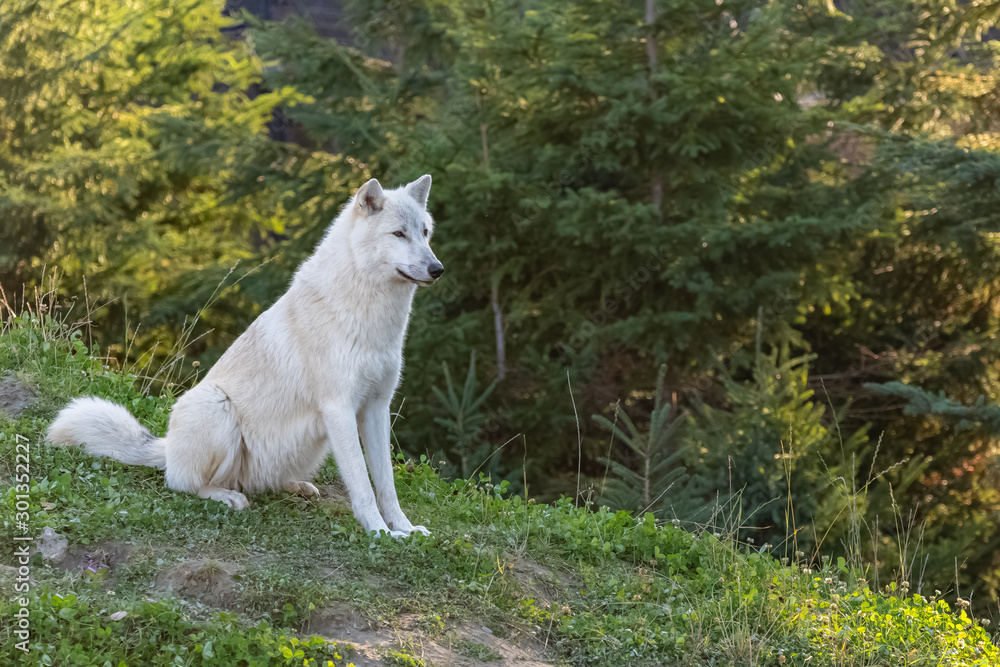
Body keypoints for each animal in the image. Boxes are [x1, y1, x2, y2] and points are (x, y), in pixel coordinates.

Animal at [47, 176, 444, 536]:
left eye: (424, 233)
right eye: (398, 234)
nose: (438, 270)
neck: (370, 317)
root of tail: (168, 448)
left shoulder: (376, 409)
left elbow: (387, 485)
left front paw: (405, 530)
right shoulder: (340, 409)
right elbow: (362, 485)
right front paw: (379, 533)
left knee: (261, 480)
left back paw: (296, 487)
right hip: (218, 409)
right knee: (184, 484)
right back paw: (227, 497)